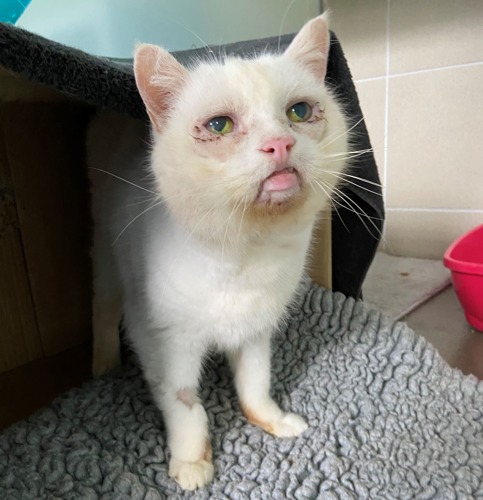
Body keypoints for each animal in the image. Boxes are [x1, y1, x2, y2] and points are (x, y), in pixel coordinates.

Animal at [88, 12, 348, 492]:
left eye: (299, 112)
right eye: (219, 126)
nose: (279, 143)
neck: (247, 255)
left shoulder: (256, 331)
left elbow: (256, 384)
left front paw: (273, 421)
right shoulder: (165, 343)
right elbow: (186, 406)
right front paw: (192, 464)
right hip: (105, 259)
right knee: (102, 307)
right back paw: (103, 367)